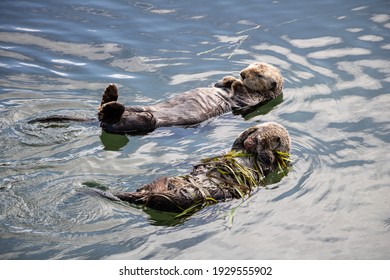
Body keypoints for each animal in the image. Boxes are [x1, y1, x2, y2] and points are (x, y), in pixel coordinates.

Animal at [97, 62, 280, 133]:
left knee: (114, 122)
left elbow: (241, 94)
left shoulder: (252, 100)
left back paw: (111, 105)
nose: (242, 74)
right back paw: (109, 94)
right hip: (139, 109)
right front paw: (228, 79)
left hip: (145, 122)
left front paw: (235, 81)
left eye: (258, 74)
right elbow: (219, 85)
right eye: (249, 66)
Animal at [98, 122, 290, 212]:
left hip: (181, 199)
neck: (248, 152)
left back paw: (160, 184)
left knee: (158, 199)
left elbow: (266, 158)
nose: (250, 142)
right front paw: (248, 130)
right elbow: (236, 142)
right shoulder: (236, 148)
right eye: (254, 135)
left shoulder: (267, 167)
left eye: (257, 139)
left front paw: (267, 145)